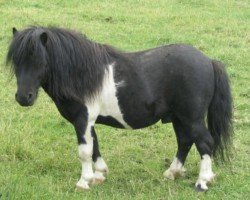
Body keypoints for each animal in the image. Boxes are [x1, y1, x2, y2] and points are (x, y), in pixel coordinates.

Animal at [6, 25, 232, 191]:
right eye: (16, 60)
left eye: (40, 61)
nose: (23, 98)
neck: (81, 74)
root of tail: (208, 61)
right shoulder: (88, 122)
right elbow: (95, 146)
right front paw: (99, 175)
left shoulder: (82, 120)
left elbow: (85, 151)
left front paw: (83, 182)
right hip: (179, 118)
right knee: (185, 142)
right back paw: (172, 173)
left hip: (192, 118)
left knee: (204, 143)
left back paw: (202, 182)